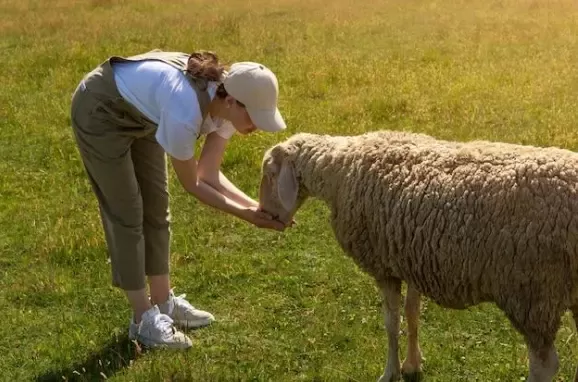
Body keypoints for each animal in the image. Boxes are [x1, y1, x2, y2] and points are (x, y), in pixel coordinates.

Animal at [258, 131, 578, 382]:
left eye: (270, 174)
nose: (266, 216)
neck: (339, 171)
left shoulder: (384, 267)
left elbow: (391, 323)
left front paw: (390, 372)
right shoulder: (410, 257)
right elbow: (412, 314)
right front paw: (412, 363)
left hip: (533, 292)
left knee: (545, 365)